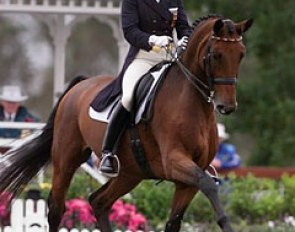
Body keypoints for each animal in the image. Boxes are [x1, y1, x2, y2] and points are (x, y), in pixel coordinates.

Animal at [0, 15, 252, 231]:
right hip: (66, 158)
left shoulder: (189, 177)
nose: (227, 106)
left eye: (240, 54)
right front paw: (225, 222)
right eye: (217, 54)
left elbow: (175, 221)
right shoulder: (175, 161)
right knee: (56, 208)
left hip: (130, 173)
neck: (193, 104)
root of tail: (77, 87)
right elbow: (209, 184)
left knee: (99, 202)